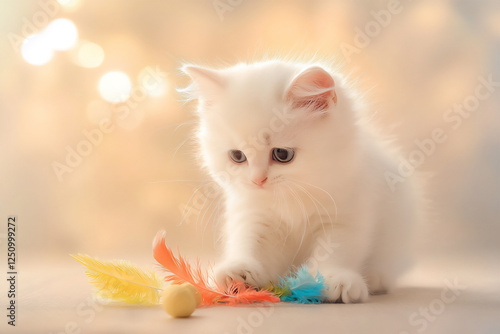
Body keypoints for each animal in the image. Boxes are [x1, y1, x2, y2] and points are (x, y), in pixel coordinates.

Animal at [182, 59, 416, 302]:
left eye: (282, 154)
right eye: (237, 156)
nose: (257, 180)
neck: (293, 197)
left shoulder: (345, 217)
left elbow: (336, 251)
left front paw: (333, 281)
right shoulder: (254, 215)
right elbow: (250, 243)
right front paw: (239, 273)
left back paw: (376, 279)